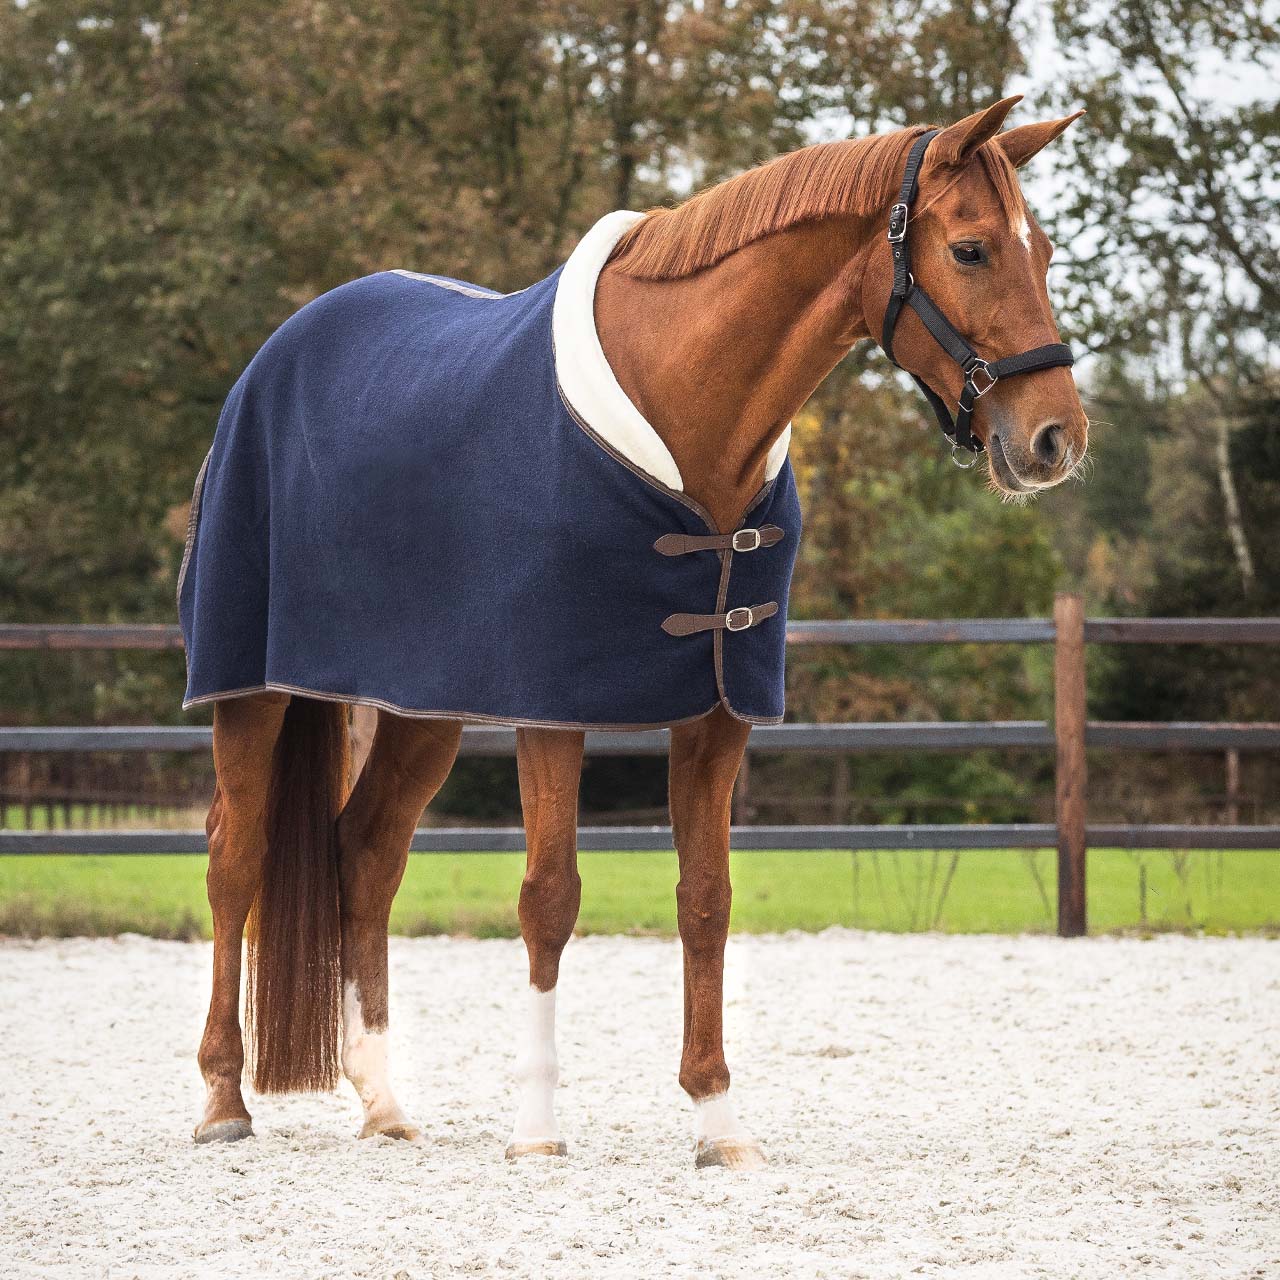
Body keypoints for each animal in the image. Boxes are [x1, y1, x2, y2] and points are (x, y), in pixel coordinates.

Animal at [185, 95, 1087, 1167]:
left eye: (1043, 251)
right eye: (971, 249)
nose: (1057, 438)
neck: (687, 417)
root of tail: (275, 356)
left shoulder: (718, 713)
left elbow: (706, 900)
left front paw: (717, 1121)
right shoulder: (553, 706)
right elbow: (549, 897)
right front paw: (537, 1130)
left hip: (423, 704)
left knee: (365, 852)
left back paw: (383, 1101)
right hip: (251, 690)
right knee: (234, 860)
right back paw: (223, 1100)